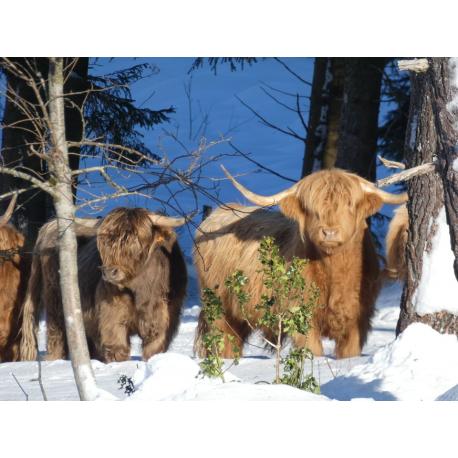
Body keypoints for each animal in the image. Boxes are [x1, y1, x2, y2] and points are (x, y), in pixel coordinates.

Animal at [19, 208, 188, 362]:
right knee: (56, 331)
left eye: (135, 240)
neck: (142, 290)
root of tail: (50, 225)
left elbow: (155, 347)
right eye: (106, 243)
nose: (109, 272)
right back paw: (55, 359)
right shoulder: (112, 311)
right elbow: (117, 346)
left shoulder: (163, 317)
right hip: (55, 298)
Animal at [191, 166, 406, 360]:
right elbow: (312, 353)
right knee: (223, 342)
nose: (329, 232)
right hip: (218, 307)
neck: (335, 274)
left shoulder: (357, 320)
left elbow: (349, 354)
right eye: (312, 209)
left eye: (349, 205)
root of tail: (216, 215)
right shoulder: (302, 318)